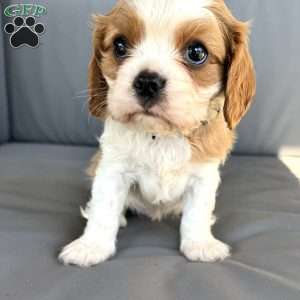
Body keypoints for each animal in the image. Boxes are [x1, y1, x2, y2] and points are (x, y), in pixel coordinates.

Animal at [58, 0, 255, 268]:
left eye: (197, 53)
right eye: (120, 46)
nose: (147, 82)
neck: (162, 135)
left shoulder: (204, 174)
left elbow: (198, 211)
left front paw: (200, 244)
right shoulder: (112, 168)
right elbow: (103, 208)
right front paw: (91, 246)